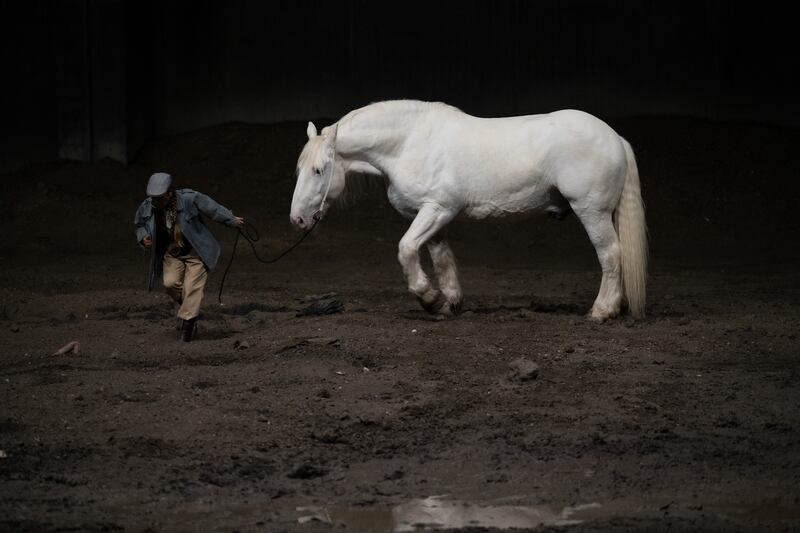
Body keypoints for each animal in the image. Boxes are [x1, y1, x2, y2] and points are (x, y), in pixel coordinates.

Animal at [290, 100, 648, 320]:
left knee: (611, 255)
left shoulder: (437, 209)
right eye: (300, 169)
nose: (298, 219)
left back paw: (602, 310)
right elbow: (441, 258)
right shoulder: (432, 215)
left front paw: (428, 298)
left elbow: (406, 249)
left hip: (592, 212)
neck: (408, 143)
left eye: (319, 170)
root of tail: (614, 137)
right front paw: (449, 302)